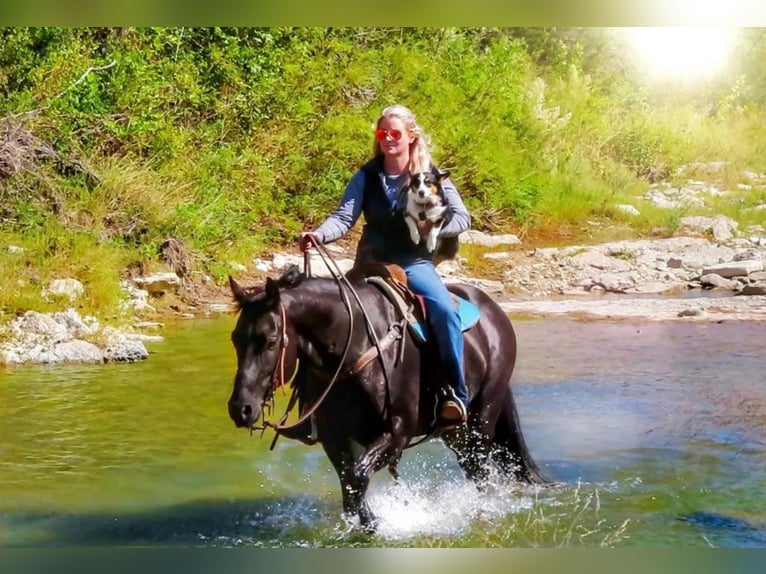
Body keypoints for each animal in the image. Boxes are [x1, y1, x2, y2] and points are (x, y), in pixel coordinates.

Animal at [225, 264, 548, 532]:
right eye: (235, 339)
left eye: (270, 341)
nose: (241, 409)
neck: (352, 345)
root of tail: (494, 313)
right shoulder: (335, 438)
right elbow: (349, 484)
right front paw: (363, 524)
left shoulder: (397, 432)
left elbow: (357, 477)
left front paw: (376, 524)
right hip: (455, 432)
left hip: (482, 419)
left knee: (480, 470)